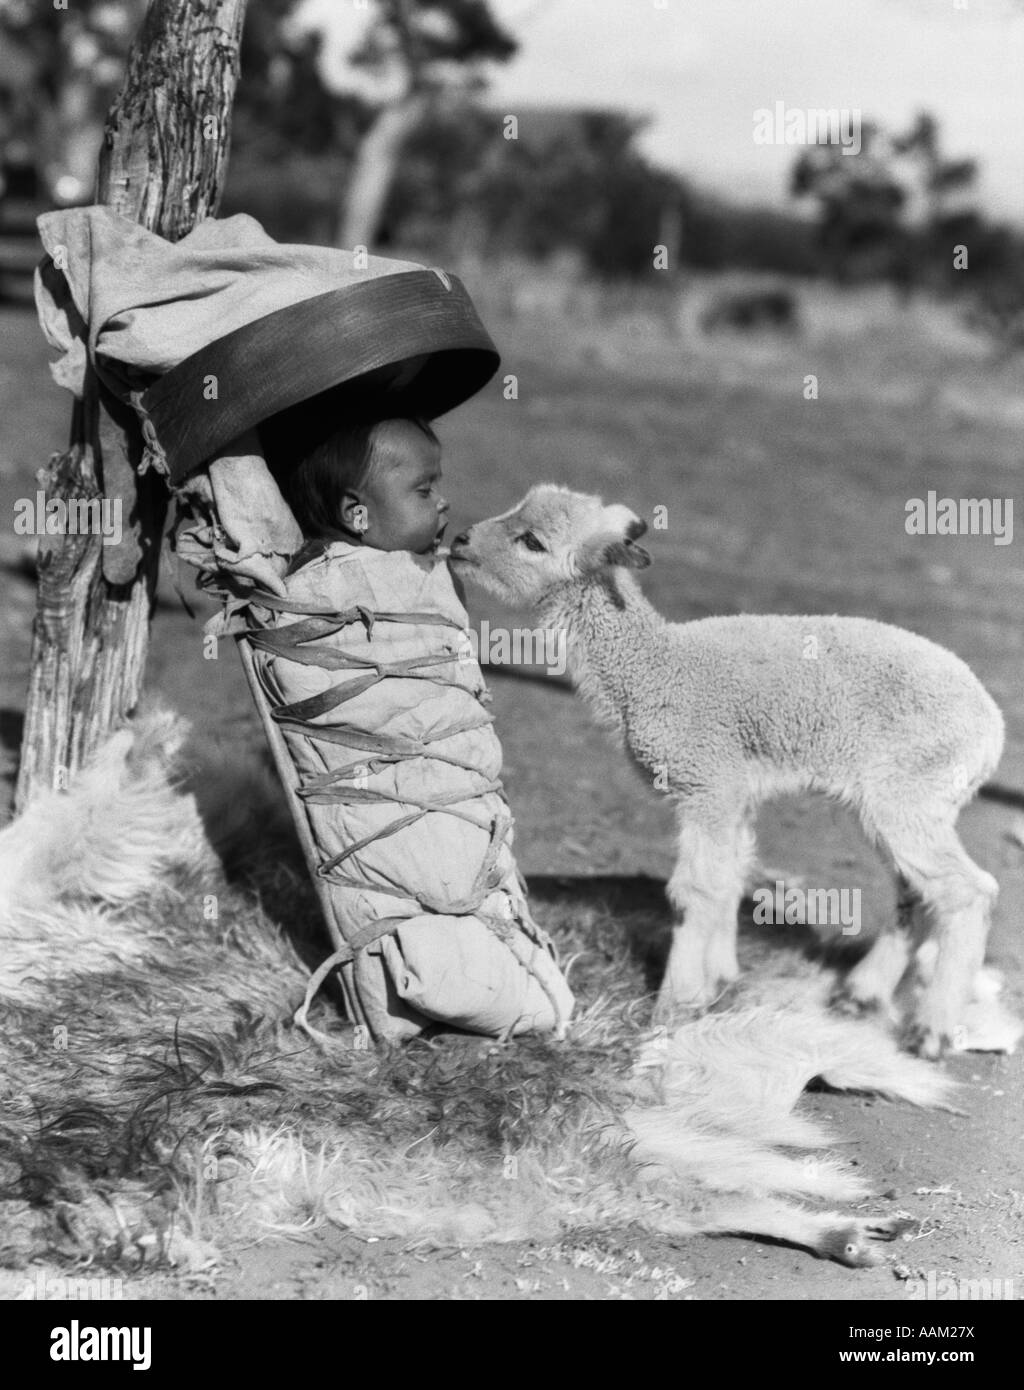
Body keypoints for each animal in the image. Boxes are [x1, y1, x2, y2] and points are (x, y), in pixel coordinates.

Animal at [450, 483, 1005, 1056]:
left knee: (969, 892)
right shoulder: (734, 790)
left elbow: (694, 892)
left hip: (911, 790)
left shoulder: (707, 781)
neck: (652, 667)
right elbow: (729, 878)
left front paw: (672, 1011)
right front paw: (717, 983)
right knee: (915, 890)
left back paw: (931, 1031)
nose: (460, 540)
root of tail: (993, 729)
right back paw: (861, 996)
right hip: (906, 800)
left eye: (532, 542)